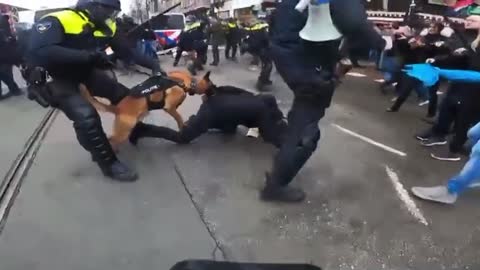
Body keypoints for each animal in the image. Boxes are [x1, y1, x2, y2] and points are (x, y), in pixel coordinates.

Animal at [80, 69, 212, 150]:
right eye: (211, 86)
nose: (215, 90)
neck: (187, 80)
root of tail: (118, 108)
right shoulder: (169, 107)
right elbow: (178, 117)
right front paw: (182, 127)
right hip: (123, 131)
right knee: (112, 140)